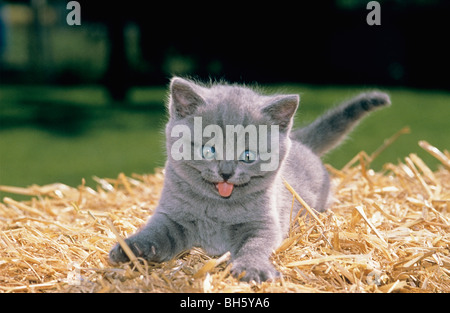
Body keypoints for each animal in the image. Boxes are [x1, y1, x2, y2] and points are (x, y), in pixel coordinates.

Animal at [110, 77, 390, 282]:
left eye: (247, 155)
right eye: (209, 150)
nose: (226, 172)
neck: (217, 208)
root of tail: (299, 140)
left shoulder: (263, 224)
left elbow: (255, 245)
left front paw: (253, 268)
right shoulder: (171, 216)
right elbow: (155, 233)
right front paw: (130, 249)